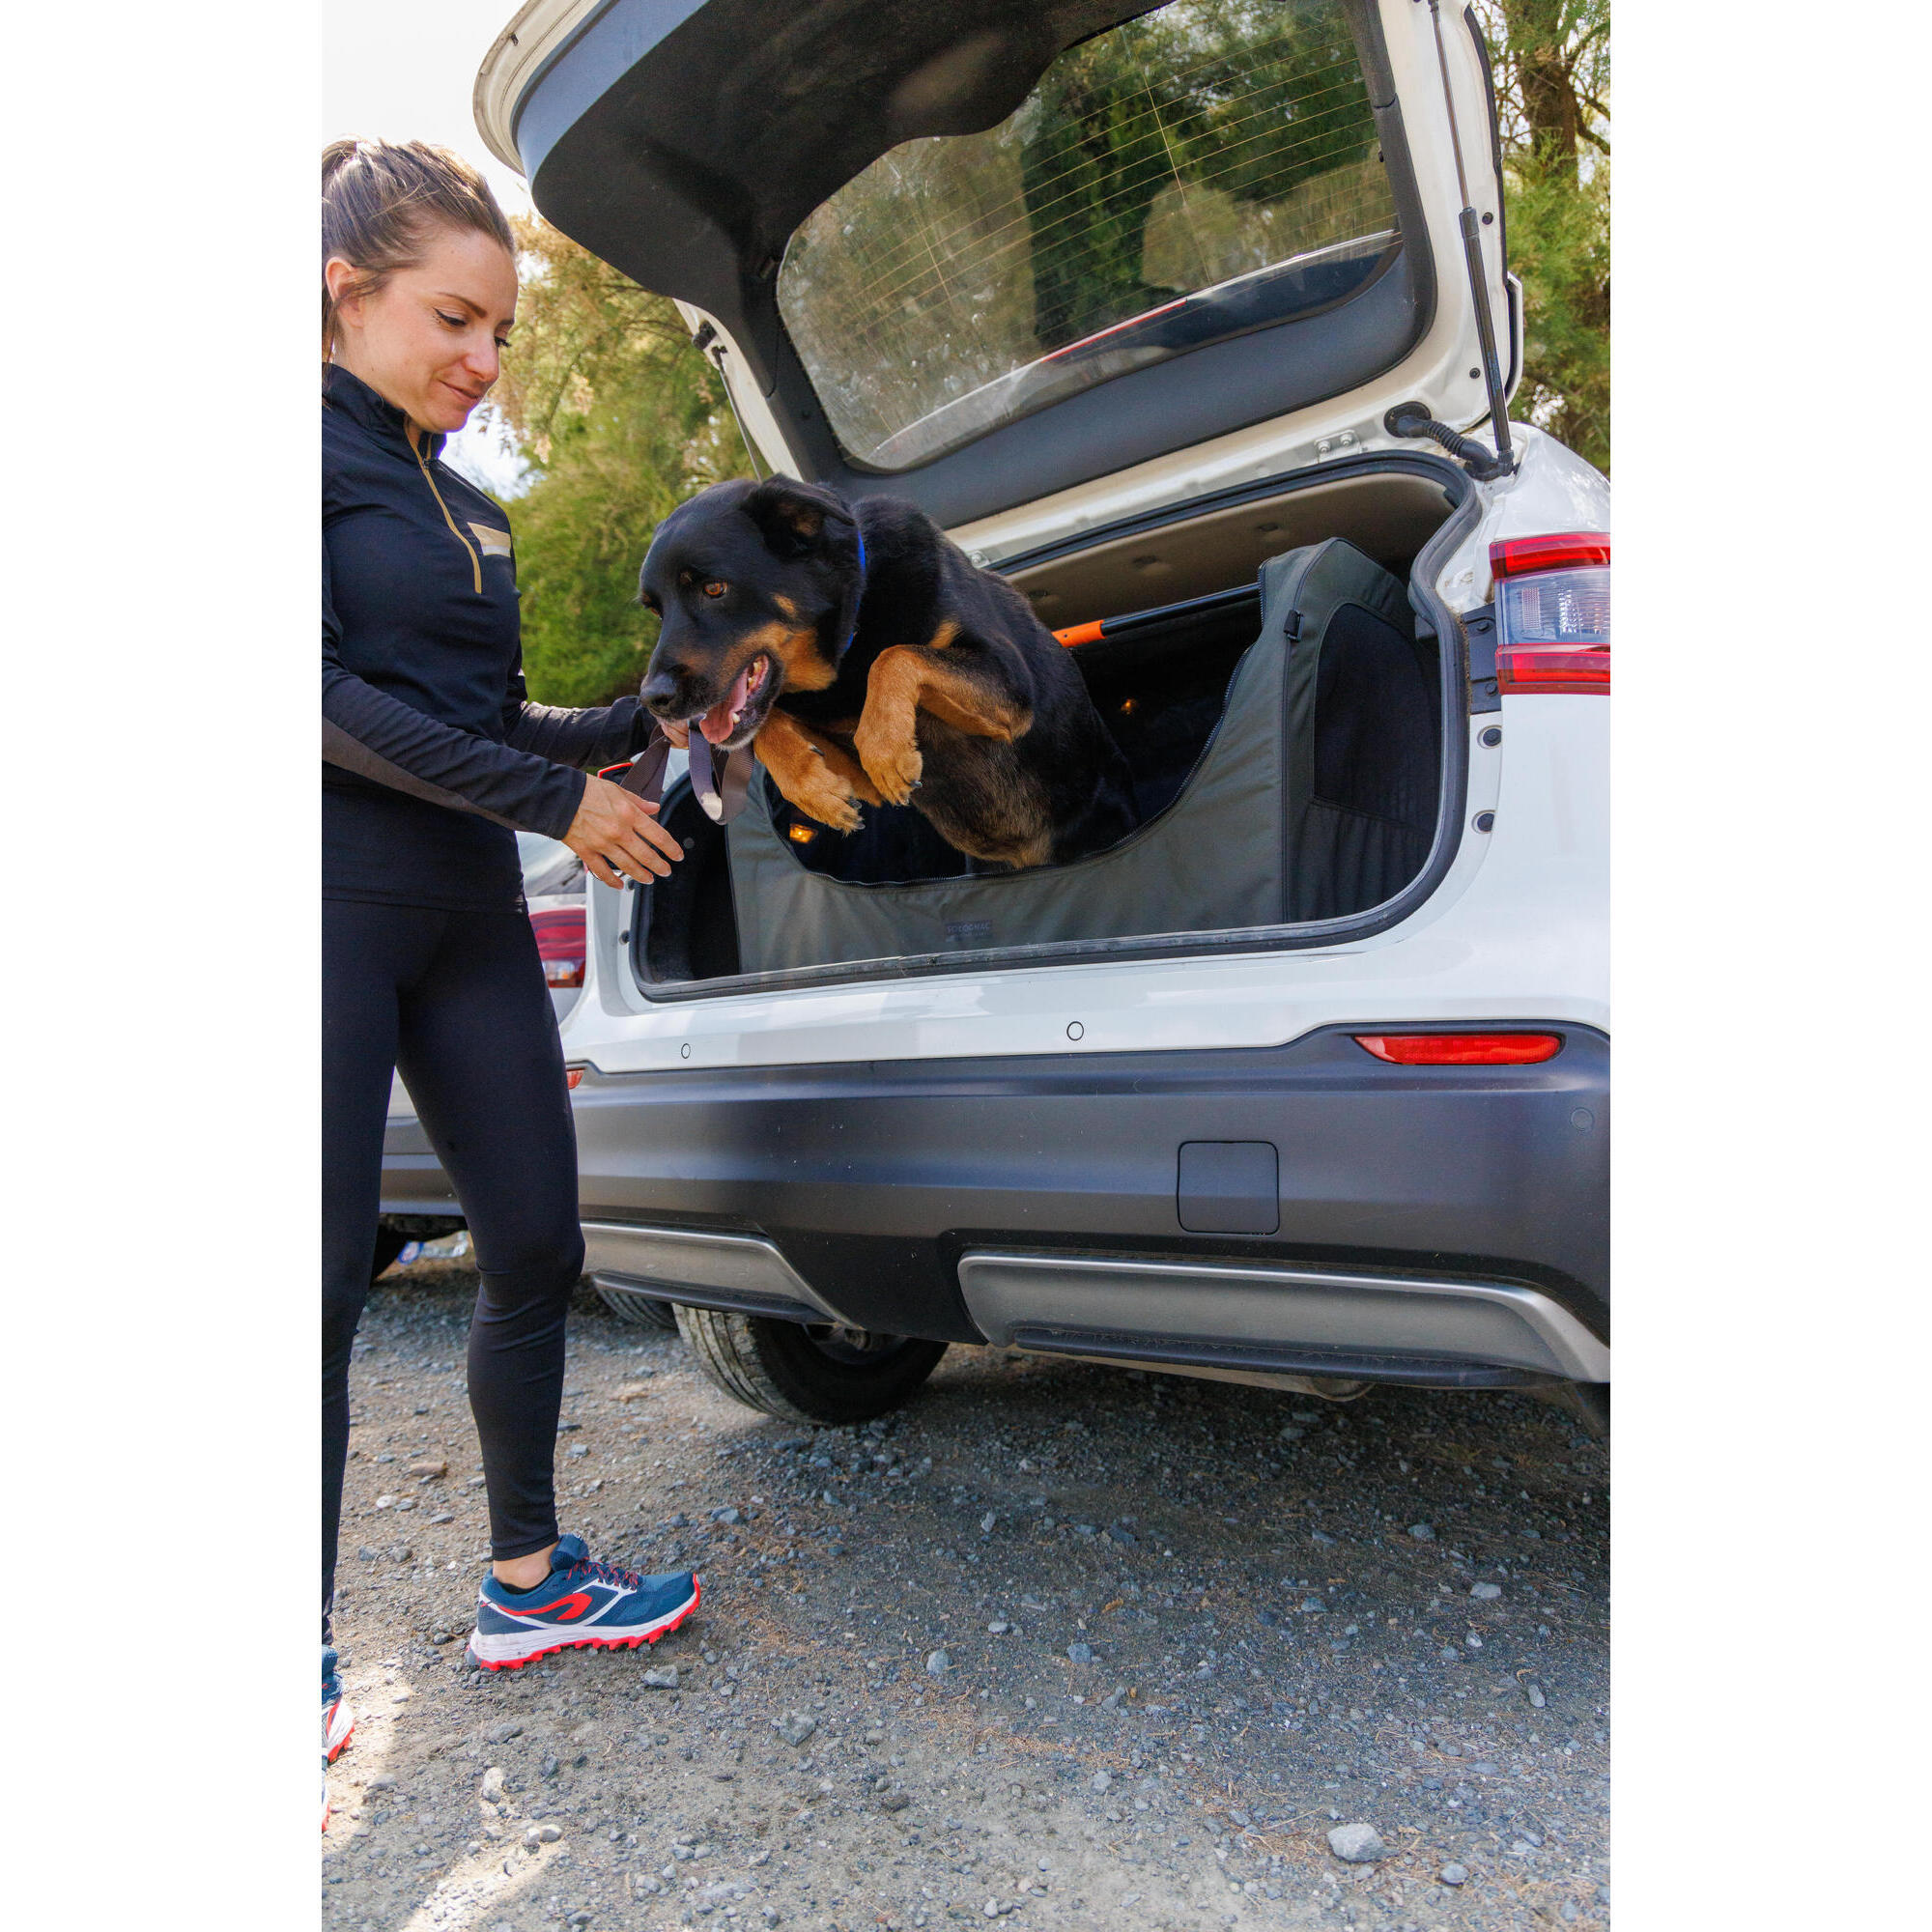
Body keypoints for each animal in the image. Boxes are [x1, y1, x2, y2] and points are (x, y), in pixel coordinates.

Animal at [634, 479, 1144, 873]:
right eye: (655, 610)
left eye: (714, 588)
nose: (651, 701)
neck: (847, 644)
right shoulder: (854, 772)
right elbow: (770, 724)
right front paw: (813, 790)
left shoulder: (1013, 690)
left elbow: (896, 655)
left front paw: (886, 749)